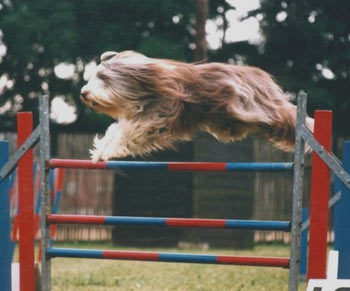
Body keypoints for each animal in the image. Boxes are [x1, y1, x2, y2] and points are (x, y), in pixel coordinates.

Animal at [80, 50, 314, 162]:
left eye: (103, 78)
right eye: (93, 77)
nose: (83, 93)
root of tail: (260, 75)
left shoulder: (158, 116)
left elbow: (128, 133)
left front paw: (109, 150)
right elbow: (116, 130)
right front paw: (100, 150)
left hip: (262, 109)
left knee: (289, 116)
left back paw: (310, 130)